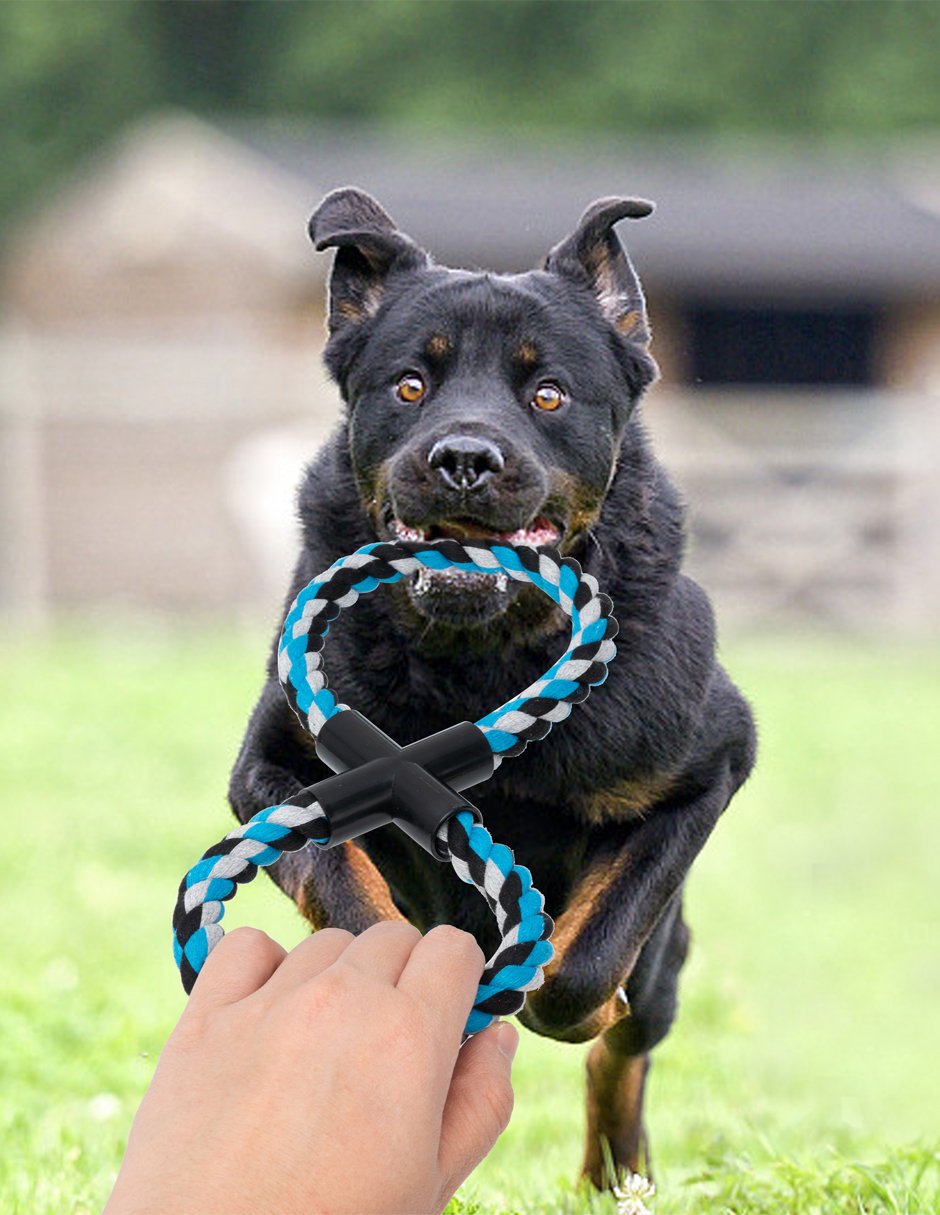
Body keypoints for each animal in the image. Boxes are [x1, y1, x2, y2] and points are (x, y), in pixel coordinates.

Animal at [229, 189, 757, 1185]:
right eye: (409, 385)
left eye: (547, 393)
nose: (463, 458)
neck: (477, 658)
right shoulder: (269, 772)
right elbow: (344, 887)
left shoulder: (706, 770)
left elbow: (589, 962)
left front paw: (566, 996)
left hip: (666, 966)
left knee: (627, 1047)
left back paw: (613, 1176)